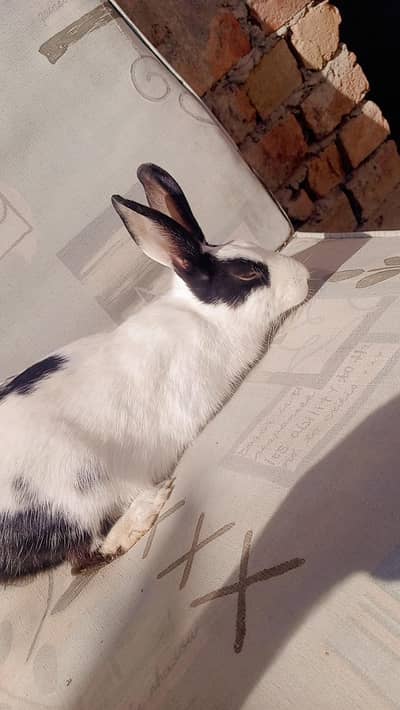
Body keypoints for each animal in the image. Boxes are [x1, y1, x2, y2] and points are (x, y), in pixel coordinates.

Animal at [0, 164, 309, 581]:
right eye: (246, 274)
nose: (304, 276)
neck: (203, 315)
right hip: (77, 489)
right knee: (85, 556)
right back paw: (147, 509)